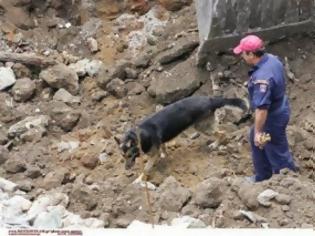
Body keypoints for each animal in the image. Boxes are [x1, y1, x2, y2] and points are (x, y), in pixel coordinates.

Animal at [115, 96, 248, 181]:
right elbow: (163, 148)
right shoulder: (161, 142)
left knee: (222, 133)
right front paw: (164, 155)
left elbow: (146, 169)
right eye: (123, 156)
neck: (138, 135)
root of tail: (210, 99)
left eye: (129, 155)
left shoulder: (152, 155)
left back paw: (215, 144)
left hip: (202, 127)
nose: (126, 169)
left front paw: (139, 179)